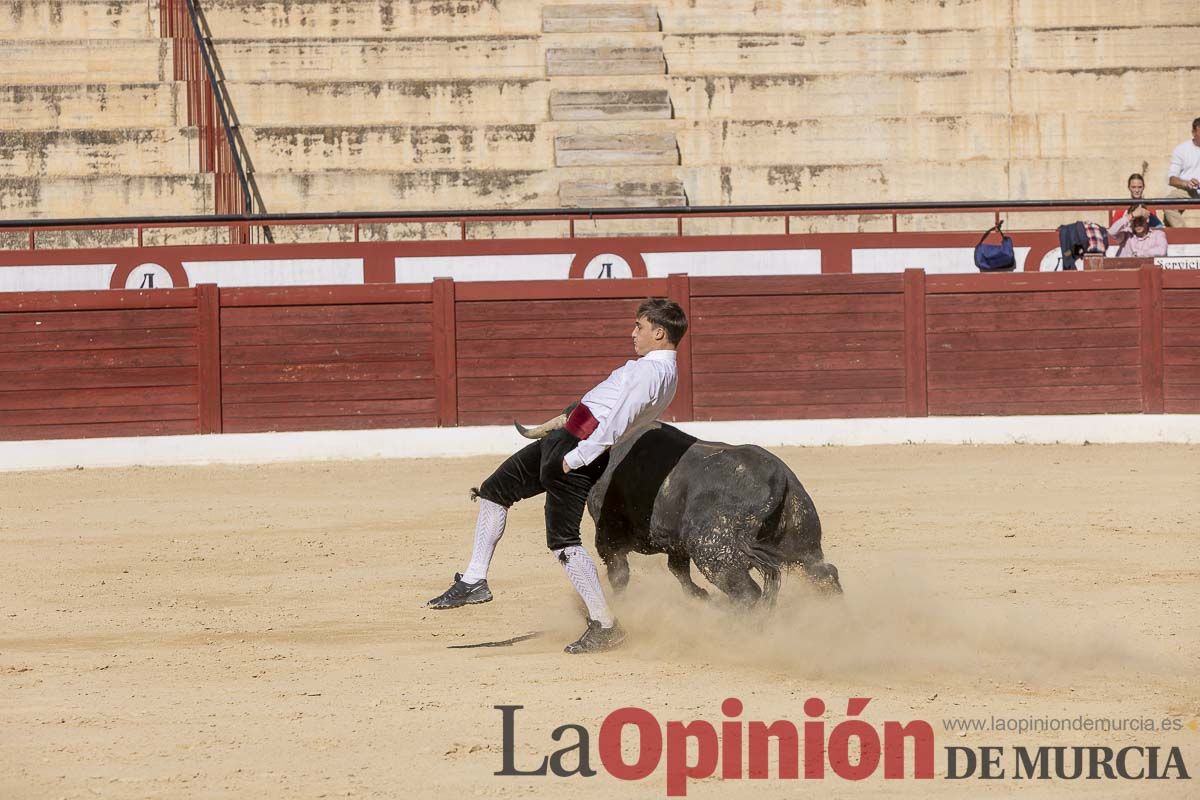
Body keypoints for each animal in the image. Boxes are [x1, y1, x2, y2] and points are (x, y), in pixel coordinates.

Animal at [585, 422, 840, 604]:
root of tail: (777, 476)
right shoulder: (674, 541)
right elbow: (677, 569)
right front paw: (699, 596)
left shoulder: (608, 534)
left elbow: (619, 573)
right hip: (802, 535)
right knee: (824, 574)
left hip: (714, 551)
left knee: (746, 593)